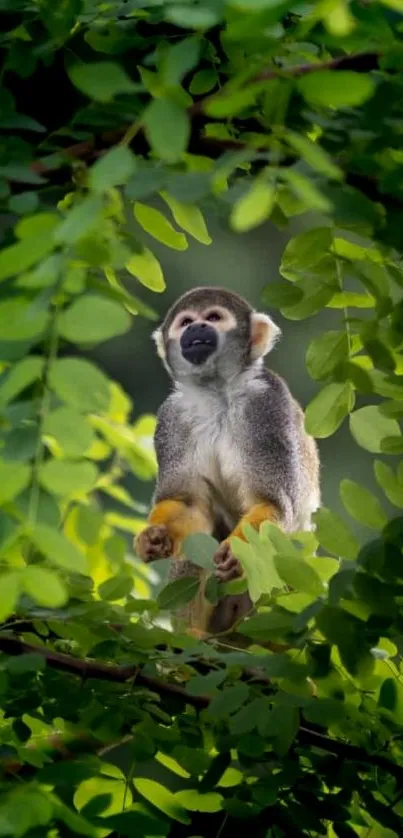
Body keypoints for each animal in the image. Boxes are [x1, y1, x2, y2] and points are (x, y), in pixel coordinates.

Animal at [137, 288, 322, 636]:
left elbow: (273, 504)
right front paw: (153, 537)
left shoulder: (267, 405)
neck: (217, 393)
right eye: (186, 322)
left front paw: (237, 552)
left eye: (213, 317)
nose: (197, 328)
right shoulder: (172, 417)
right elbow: (188, 505)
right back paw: (191, 637)